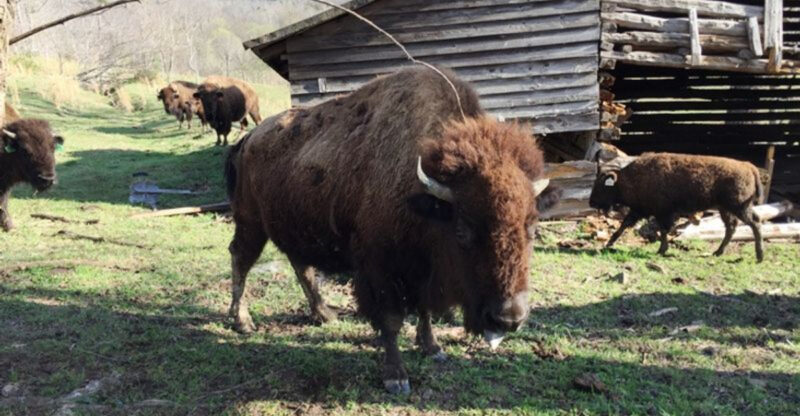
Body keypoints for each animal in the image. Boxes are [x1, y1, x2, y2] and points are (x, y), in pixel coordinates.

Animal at [224, 68, 560, 393]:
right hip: (251, 223)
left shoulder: (421, 271)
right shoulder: (380, 270)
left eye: (531, 228)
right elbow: (391, 320)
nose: (509, 318)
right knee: (241, 259)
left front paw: (432, 347)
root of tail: (249, 139)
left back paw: (324, 314)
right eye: (463, 230)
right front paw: (396, 377)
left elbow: (424, 310)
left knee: (300, 266)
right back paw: (242, 321)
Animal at [590, 152, 764, 262]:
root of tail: (748, 166)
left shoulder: (663, 213)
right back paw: (718, 252)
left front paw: (661, 250)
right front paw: (609, 243)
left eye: (601, 185)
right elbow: (624, 225)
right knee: (732, 227)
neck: (629, 179)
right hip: (726, 209)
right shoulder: (639, 210)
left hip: (739, 207)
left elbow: (663, 230)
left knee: (754, 223)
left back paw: (759, 256)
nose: (591, 202)